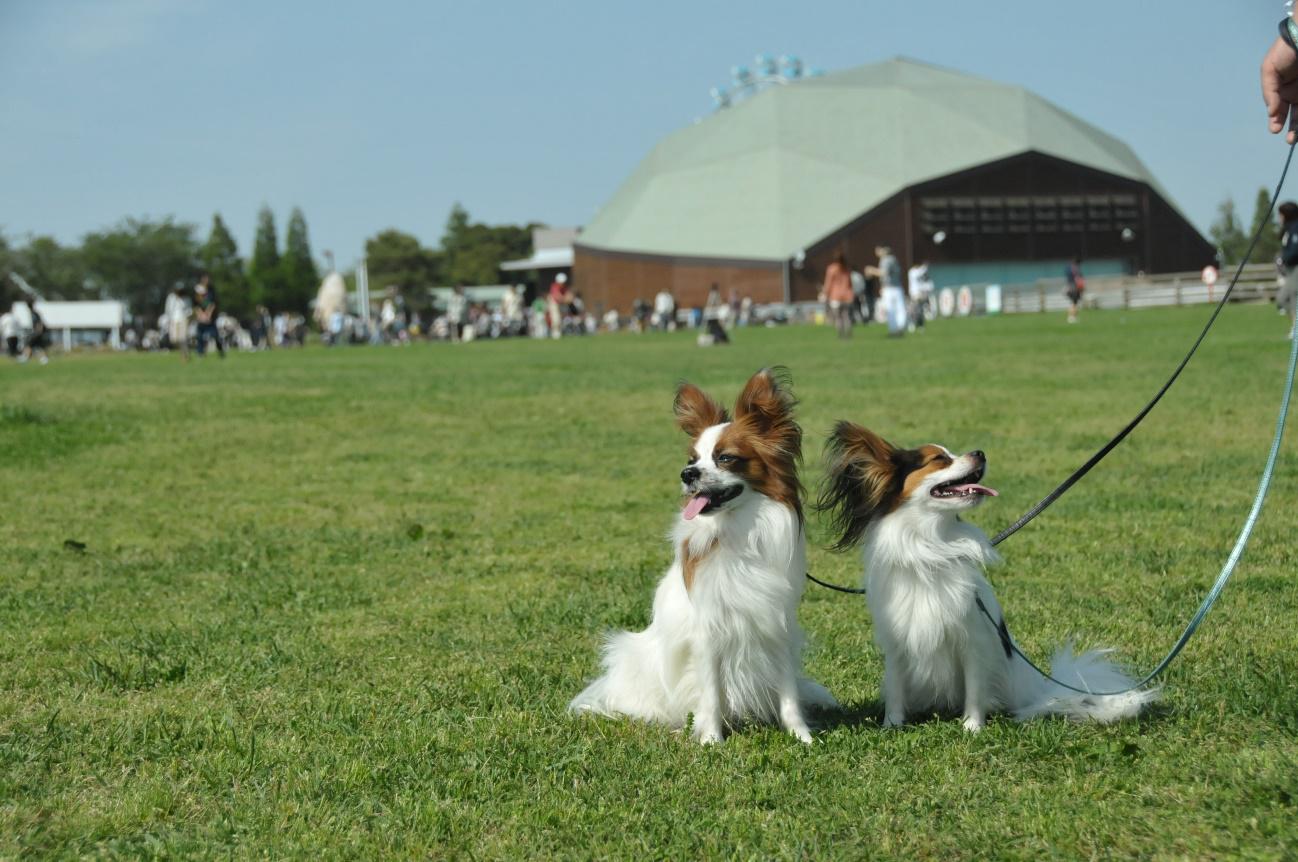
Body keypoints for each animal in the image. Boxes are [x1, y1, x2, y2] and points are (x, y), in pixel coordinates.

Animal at [565, 366, 830, 742]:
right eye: (692, 460)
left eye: (726, 458)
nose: (687, 474)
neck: (738, 531)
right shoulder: (707, 634)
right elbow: (712, 694)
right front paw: (710, 741)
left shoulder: (775, 627)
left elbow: (789, 693)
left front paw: (802, 737)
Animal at [815, 420, 1163, 732]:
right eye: (939, 459)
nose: (980, 452)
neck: (931, 544)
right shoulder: (898, 642)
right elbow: (897, 689)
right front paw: (892, 725)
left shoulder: (973, 640)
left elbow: (975, 688)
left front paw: (972, 727)